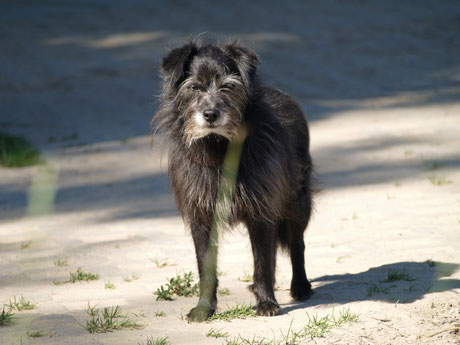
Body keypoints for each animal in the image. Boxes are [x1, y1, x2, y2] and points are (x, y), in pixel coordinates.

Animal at [153, 40, 314, 322]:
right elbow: (205, 266)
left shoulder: (262, 212)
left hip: (297, 203)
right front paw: (204, 308)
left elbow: (263, 263)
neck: (219, 146)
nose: (210, 114)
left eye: (227, 86)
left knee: (297, 244)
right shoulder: (201, 217)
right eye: (194, 87)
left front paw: (266, 302)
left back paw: (300, 285)